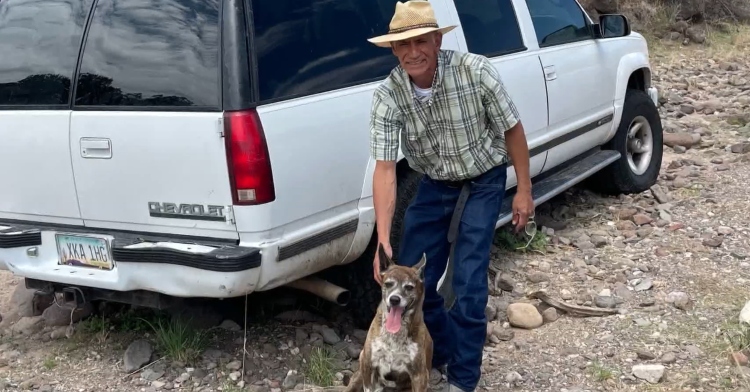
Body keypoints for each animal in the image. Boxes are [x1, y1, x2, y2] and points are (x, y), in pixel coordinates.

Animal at [346, 245, 434, 392]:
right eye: (388, 284)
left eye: (409, 287)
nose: (394, 299)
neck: (395, 335)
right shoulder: (368, 364)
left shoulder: (419, 375)